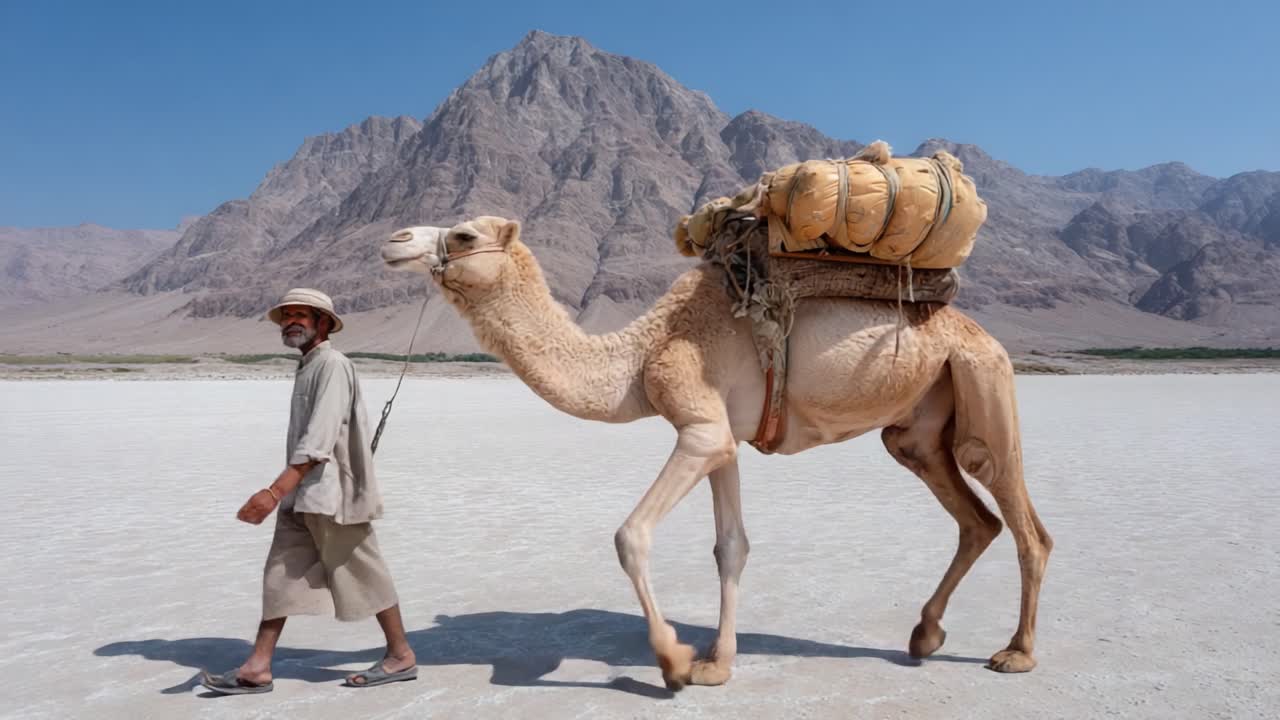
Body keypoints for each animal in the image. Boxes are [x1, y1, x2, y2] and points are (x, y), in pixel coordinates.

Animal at [379, 216, 1053, 690]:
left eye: (464, 233)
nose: (394, 240)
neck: (640, 354)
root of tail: (981, 334)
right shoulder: (724, 439)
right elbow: (731, 547)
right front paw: (715, 663)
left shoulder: (699, 427)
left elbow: (630, 536)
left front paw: (674, 661)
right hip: (917, 431)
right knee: (977, 519)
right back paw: (924, 634)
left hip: (984, 381)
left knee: (1023, 521)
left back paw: (1016, 653)